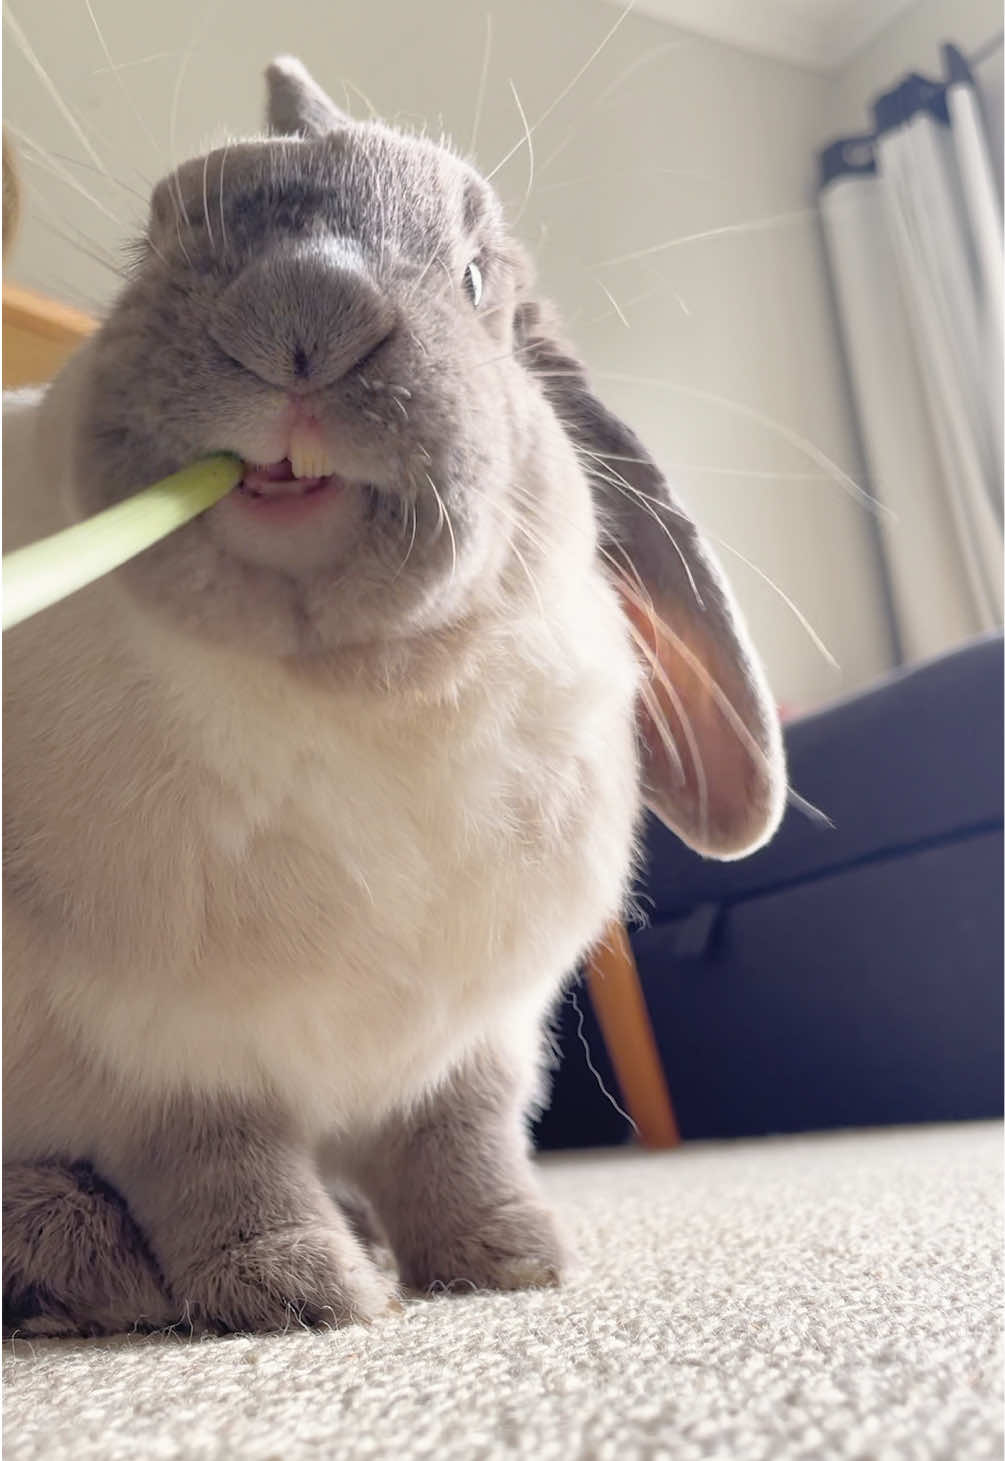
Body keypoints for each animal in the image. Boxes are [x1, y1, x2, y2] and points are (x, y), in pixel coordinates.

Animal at [1, 54, 782, 1338]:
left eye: (474, 280)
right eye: (152, 245)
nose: (304, 312)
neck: (353, 696)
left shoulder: (479, 1038)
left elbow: (459, 1144)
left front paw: (511, 1258)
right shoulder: (162, 1054)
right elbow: (223, 1166)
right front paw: (298, 1290)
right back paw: (82, 1263)